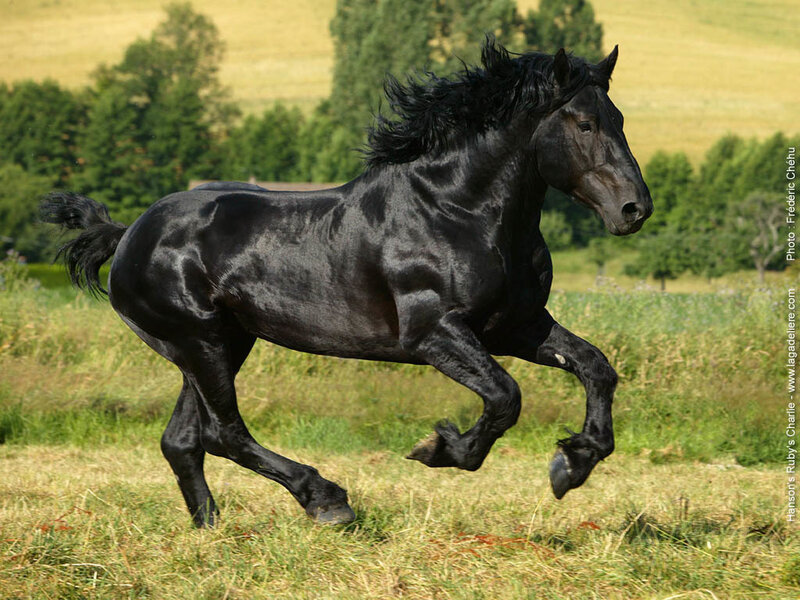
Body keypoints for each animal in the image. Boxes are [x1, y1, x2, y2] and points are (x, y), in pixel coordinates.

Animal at [42, 38, 652, 527]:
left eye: (620, 118)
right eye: (584, 124)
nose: (634, 209)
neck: (457, 210)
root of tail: (127, 235)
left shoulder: (517, 327)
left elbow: (596, 366)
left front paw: (572, 463)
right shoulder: (435, 334)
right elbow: (506, 396)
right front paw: (441, 449)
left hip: (221, 343)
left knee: (184, 439)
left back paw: (210, 528)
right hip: (201, 341)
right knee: (222, 433)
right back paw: (327, 499)